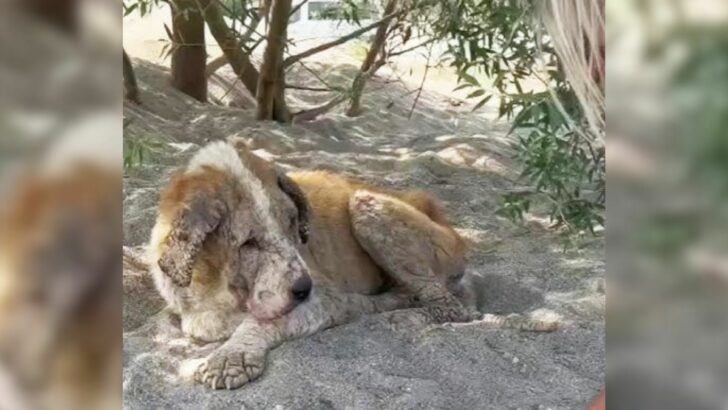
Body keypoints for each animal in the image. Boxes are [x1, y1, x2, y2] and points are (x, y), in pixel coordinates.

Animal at [151, 140, 474, 388]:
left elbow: (262, 321)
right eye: (248, 243)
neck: (217, 281)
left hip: (366, 206)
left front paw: (230, 357)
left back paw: (400, 315)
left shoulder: (322, 299)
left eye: (292, 221)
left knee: (451, 306)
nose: (304, 288)